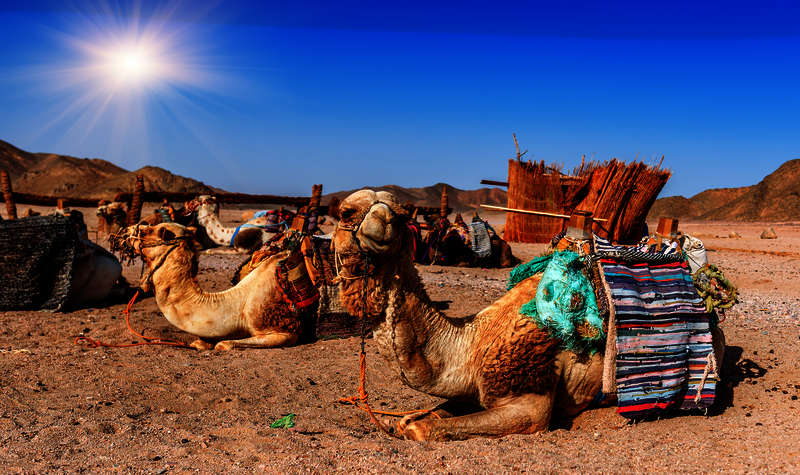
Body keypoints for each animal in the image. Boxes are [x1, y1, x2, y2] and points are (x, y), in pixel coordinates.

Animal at [115, 222, 316, 350]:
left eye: (146, 230)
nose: (120, 233)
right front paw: (201, 343)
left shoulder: (286, 330)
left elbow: (223, 345)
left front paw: (220, 344)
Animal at [332, 190, 724, 442]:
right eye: (345, 213)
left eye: (401, 216)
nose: (381, 223)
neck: (471, 344)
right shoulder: (473, 385)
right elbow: (427, 414)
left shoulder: (528, 397)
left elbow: (423, 428)